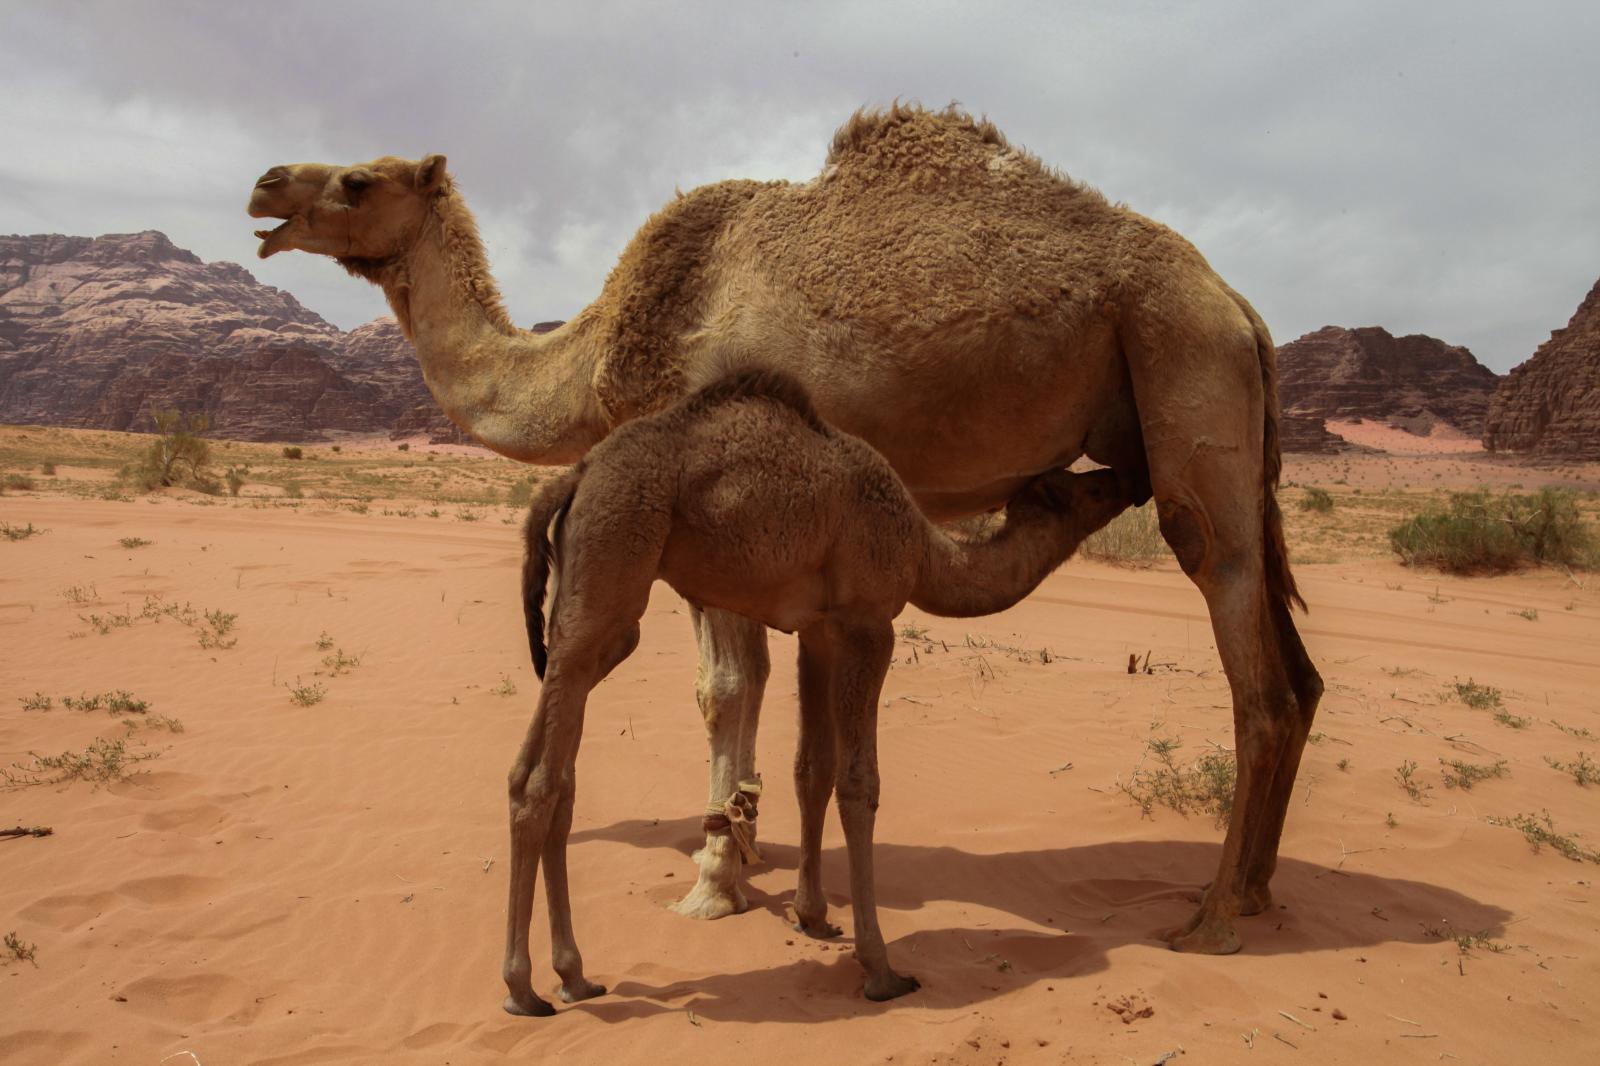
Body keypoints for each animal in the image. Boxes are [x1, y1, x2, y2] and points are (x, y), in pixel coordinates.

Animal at [499, 368, 1126, 1011]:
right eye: (1079, 492)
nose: (1125, 477)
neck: (923, 551)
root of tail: (574, 478)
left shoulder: (819, 631)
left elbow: (812, 769)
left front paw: (815, 916)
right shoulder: (869, 623)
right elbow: (858, 783)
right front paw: (880, 968)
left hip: (587, 607)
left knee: (546, 772)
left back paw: (574, 975)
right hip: (615, 560)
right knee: (543, 778)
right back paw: (523, 986)